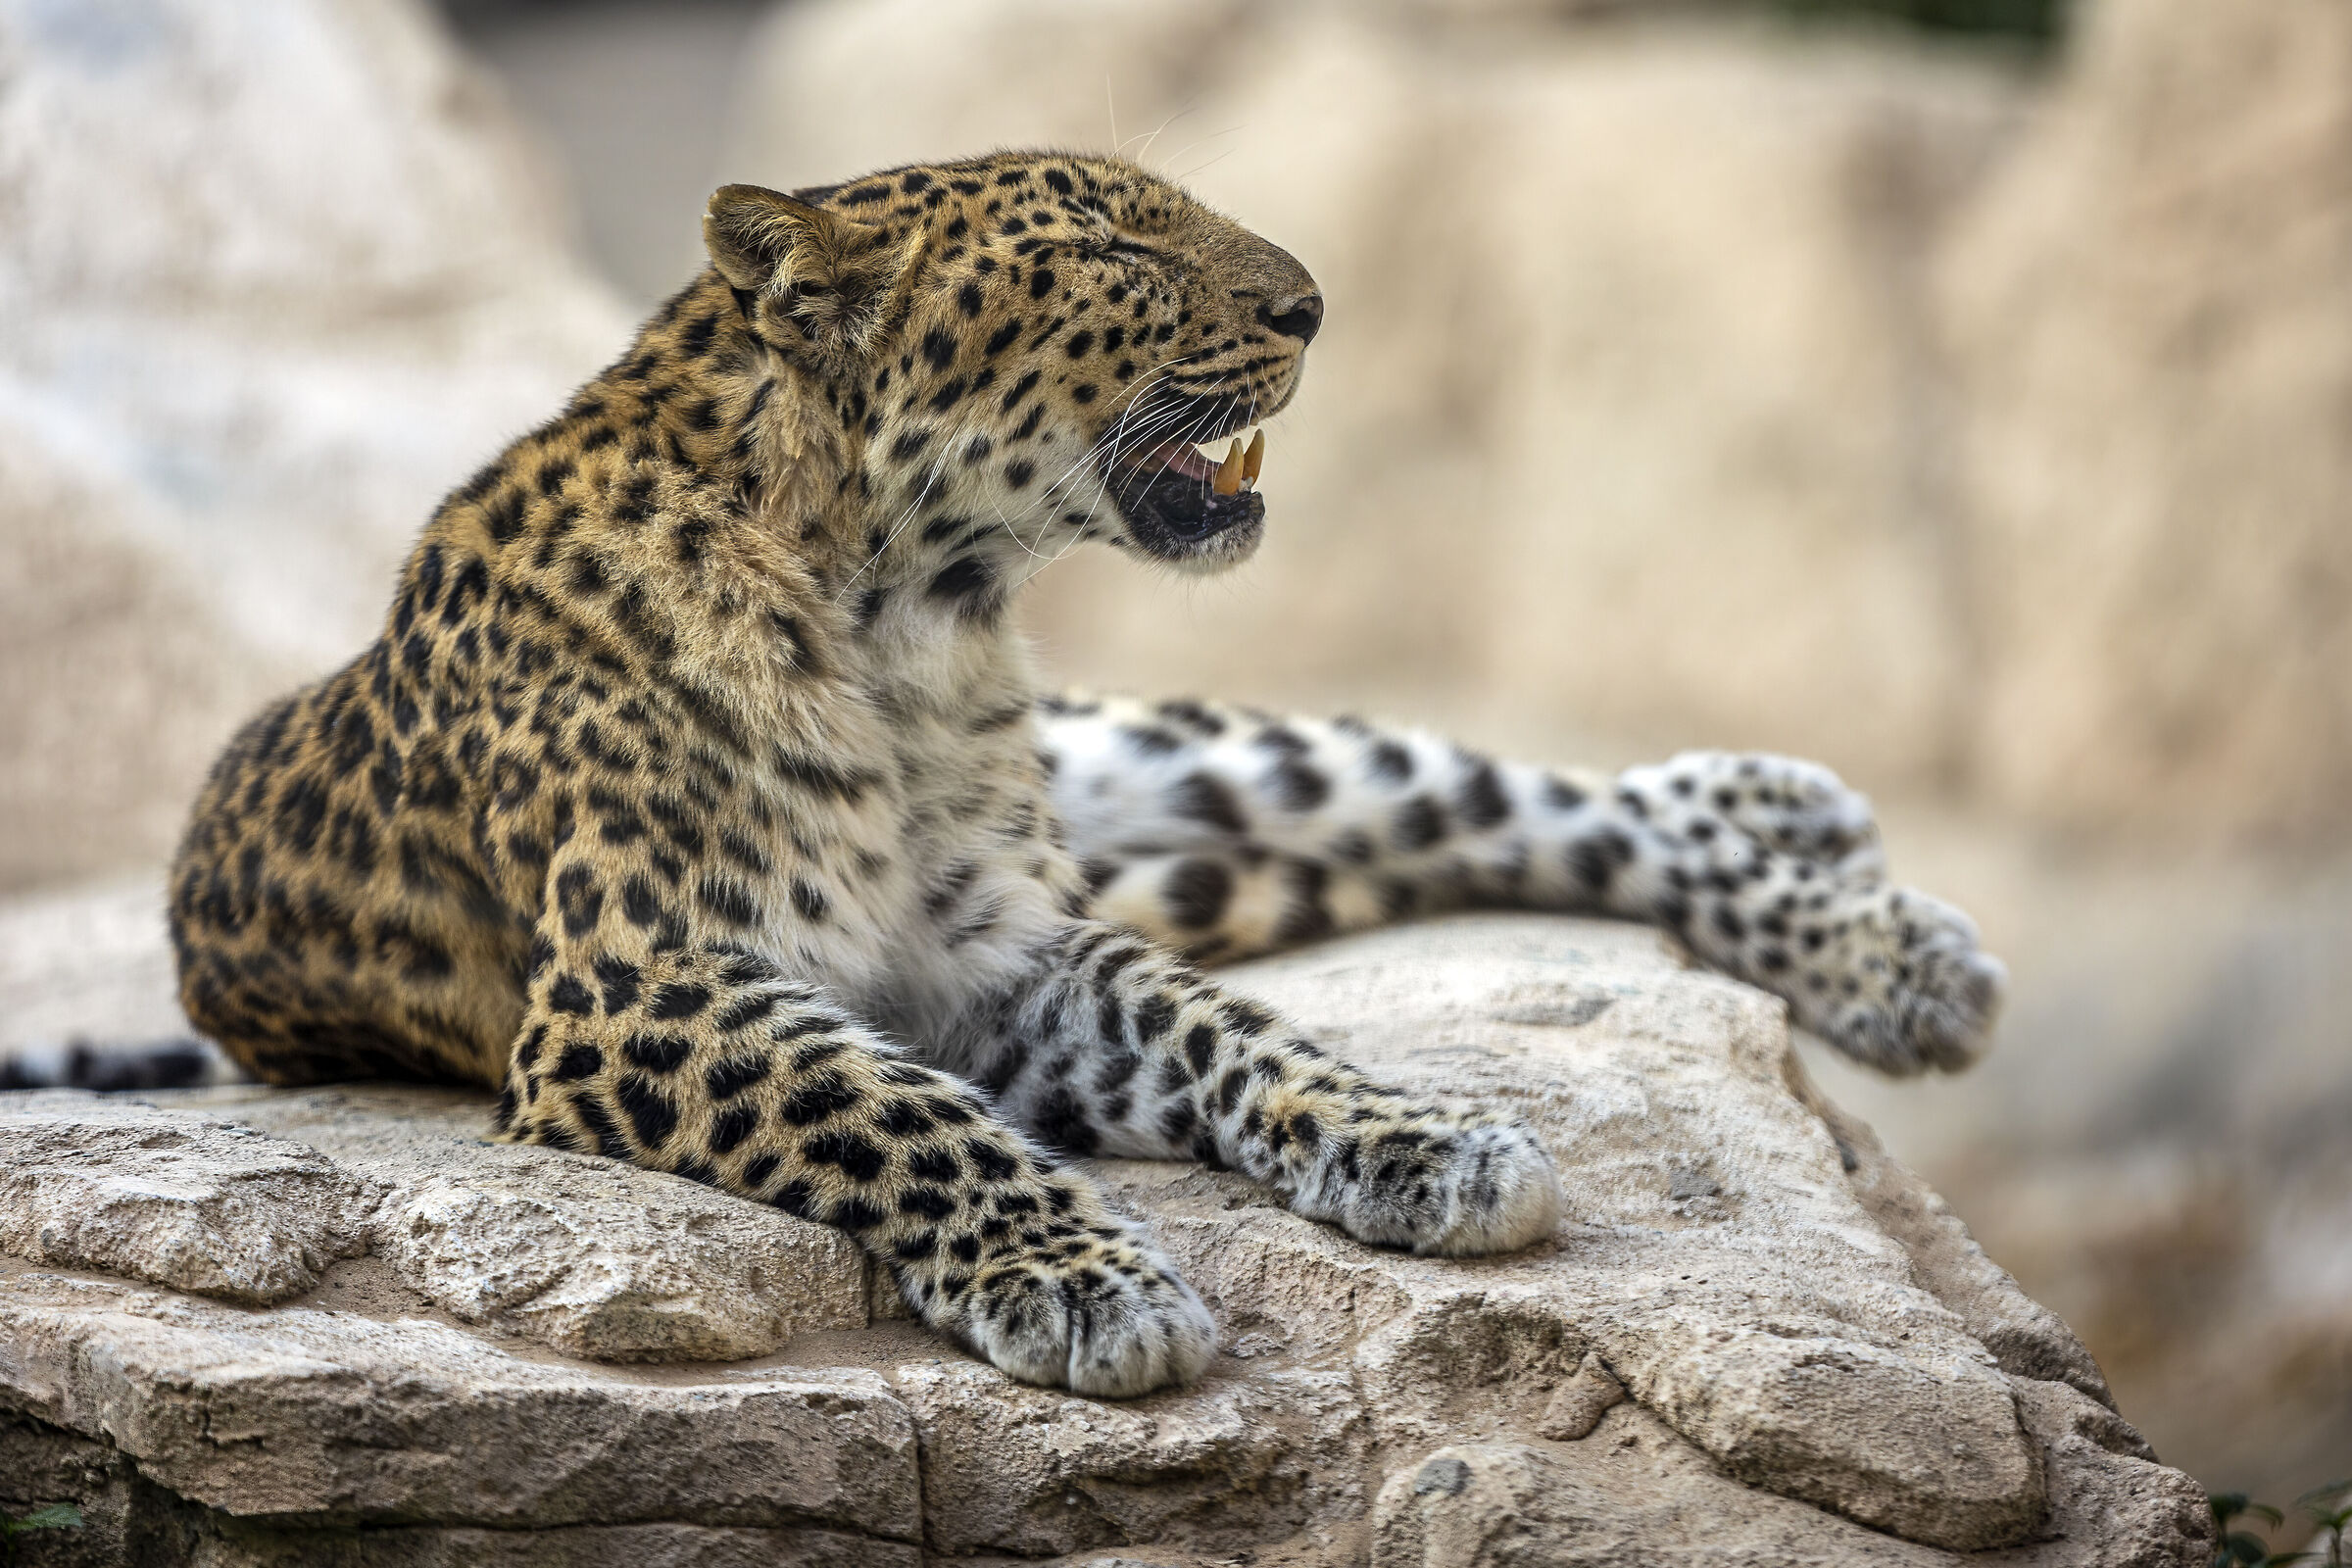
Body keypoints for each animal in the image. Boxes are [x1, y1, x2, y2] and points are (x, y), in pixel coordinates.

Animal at [163, 151, 2006, 1398]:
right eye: (1110, 241)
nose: (1312, 307)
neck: (909, 633)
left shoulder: (1016, 950)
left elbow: (1227, 1027)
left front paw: (1412, 1139)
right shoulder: (638, 990)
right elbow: (892, 1111)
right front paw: (1090, 1282)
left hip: (1200, 767)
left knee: (1498, 795)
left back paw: (1863, 900)